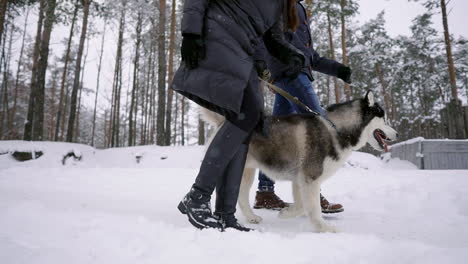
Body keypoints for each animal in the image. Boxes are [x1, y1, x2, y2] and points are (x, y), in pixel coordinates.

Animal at [201, 92, 398, 232]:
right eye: (384, 119)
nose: (397, 134)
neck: (337, 129)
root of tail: (225, 122)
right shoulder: (309, 178)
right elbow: (310, 206)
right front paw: (323, 228)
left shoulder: (300, 180)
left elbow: (302, 205)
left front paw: (286, 213)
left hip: (245, 170)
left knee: (240, 194)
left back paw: (250, 217)